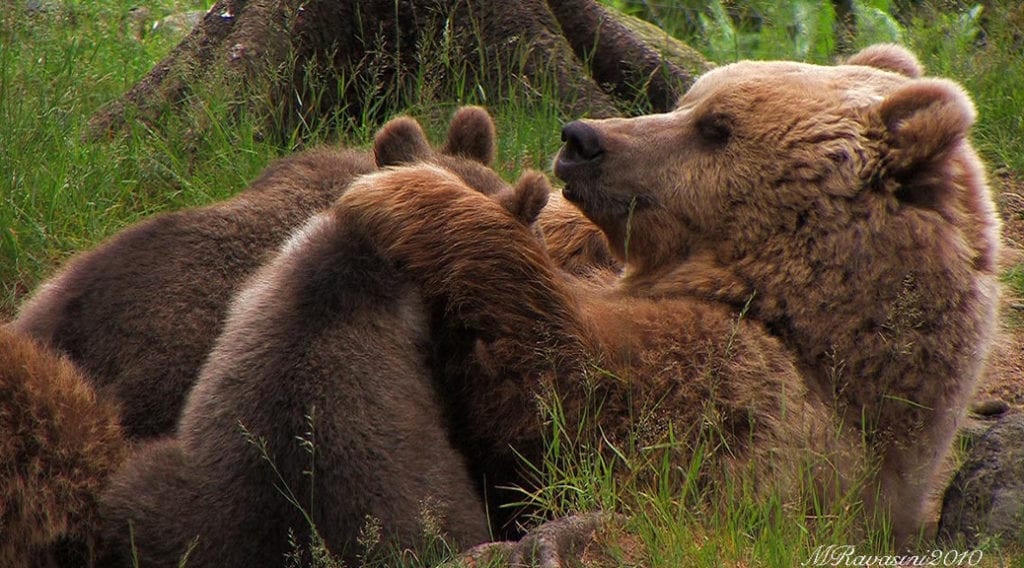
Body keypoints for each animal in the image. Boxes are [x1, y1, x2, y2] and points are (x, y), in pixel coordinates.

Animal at [325, 42, 999, 548]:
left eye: (717, 127)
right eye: (686, 100)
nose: (581, 138)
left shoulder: (749, 405)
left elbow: (570, 403)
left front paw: (410, 191)